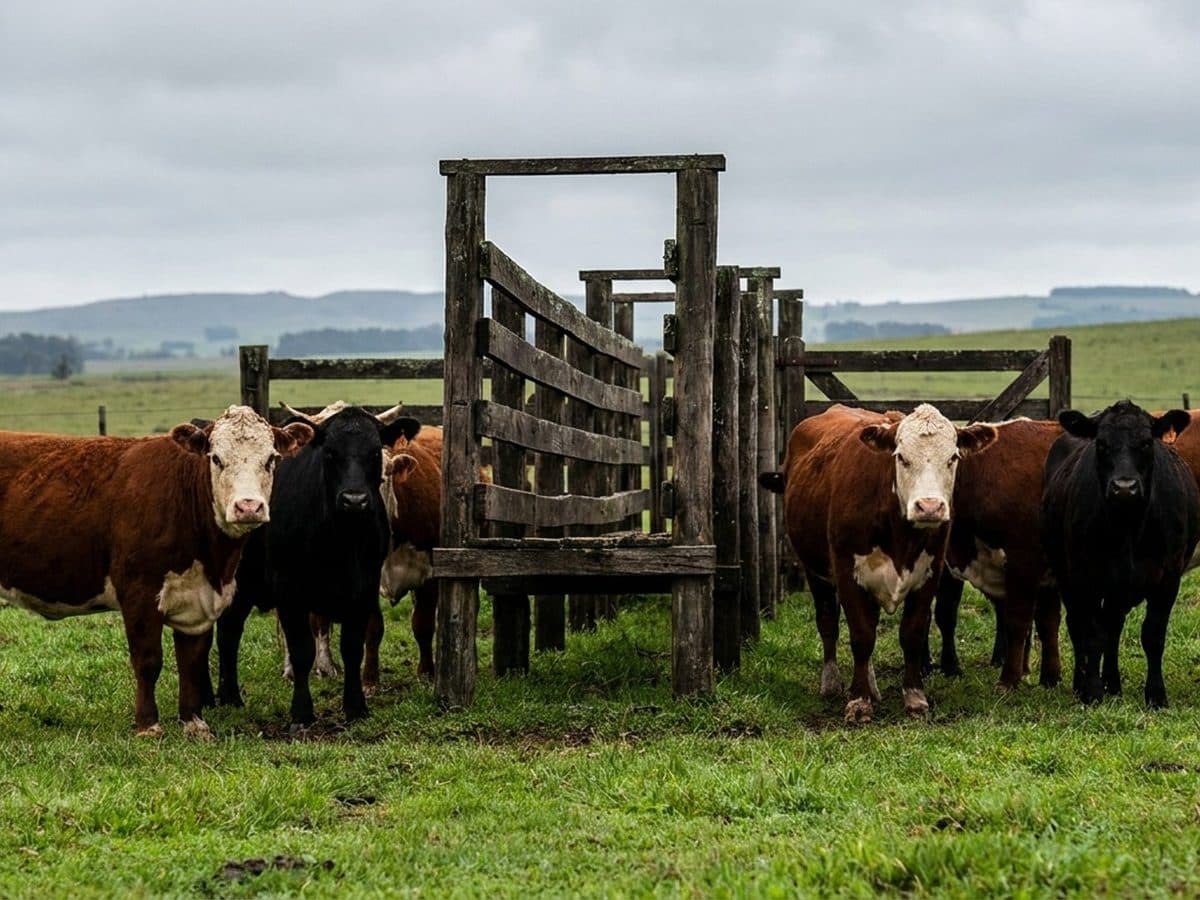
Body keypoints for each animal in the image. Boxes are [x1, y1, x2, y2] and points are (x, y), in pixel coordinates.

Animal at [0, 406, 312, 735]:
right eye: (216, 458)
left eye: (271, 458)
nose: (249, 507)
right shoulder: (139, 591)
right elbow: (148, 661)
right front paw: (148, 725)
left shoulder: (199, 602)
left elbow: (191, 661)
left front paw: (194, 722)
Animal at [215, 405, 418, 725]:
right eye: (330, 452)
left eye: (375, 451)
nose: (354, 500)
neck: (341, 540)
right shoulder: (289, 591)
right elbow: (301, 650)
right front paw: (302, 711)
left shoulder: (364, 590)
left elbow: (352, 647)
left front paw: (355, 706)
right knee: (226, 631)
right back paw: (228, 695)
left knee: (229, 629)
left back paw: (228, 696)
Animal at [761, 403, 997, 723]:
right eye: (901, 457)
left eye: (953, 457)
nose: (929, 507)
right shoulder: (847, 572)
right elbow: (861, 635)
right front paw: (859, 701)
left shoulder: (930, 574)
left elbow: (912, 632)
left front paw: (914, 697)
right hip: (814, 570)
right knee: (828, 622)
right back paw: (832, 683)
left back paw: (872, 686)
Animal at [1041, 401, 1200, 707]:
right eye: (1102, 444)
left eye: (1147, 442)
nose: (1124, 487)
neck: (1128, 527)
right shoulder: (1084, 575)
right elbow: (1091, 634)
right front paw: (1092, 691)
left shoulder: (1168, 578)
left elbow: (1152, 635)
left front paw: (1156, 695)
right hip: (1067, 573)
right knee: (1080, 626)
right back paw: (1082, 683)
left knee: (1112, 627)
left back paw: (1113, 683)